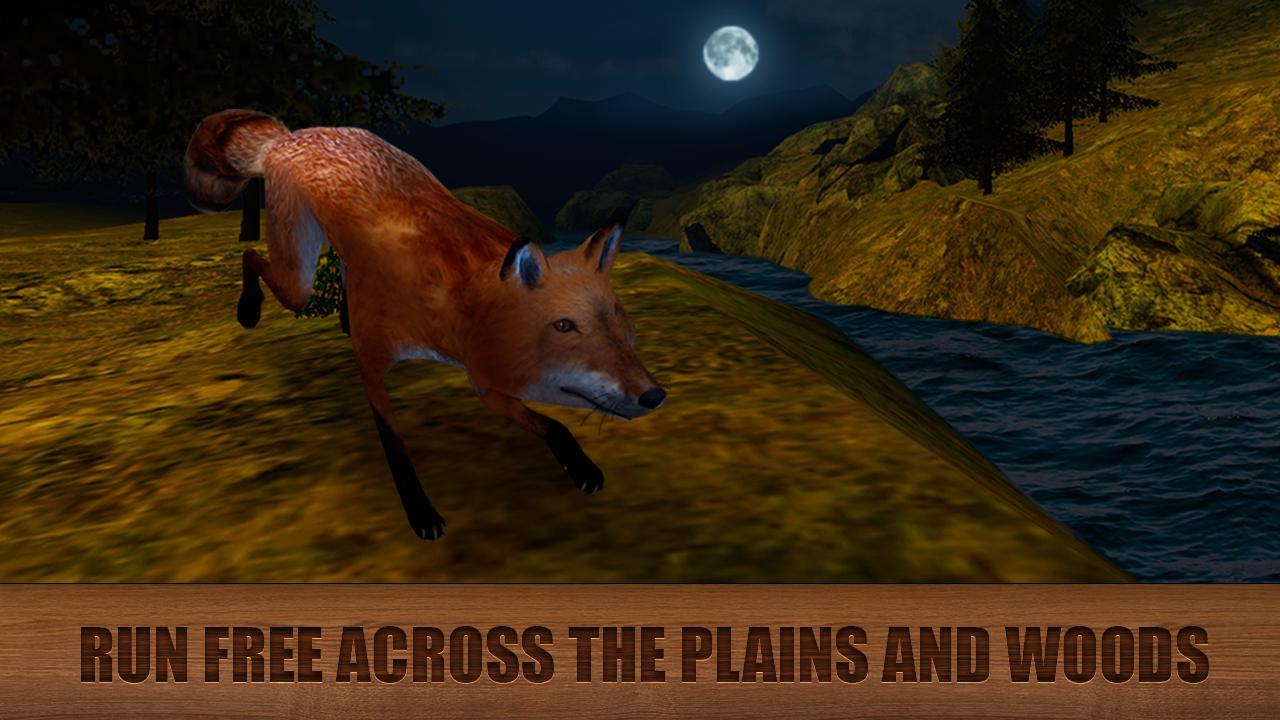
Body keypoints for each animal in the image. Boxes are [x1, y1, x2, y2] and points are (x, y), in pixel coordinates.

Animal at [183, 109, 666, 541]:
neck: (453, 307)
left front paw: (580, 465)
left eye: (622, 327)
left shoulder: (483, 378)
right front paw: (420, 513)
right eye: (566, 326)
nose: (654, 396)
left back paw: (334, 314)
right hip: (297, 278)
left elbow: (553, 425)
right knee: (252, 256)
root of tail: (292, 134)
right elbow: (395, 445)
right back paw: (248, 309)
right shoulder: (375, 360)